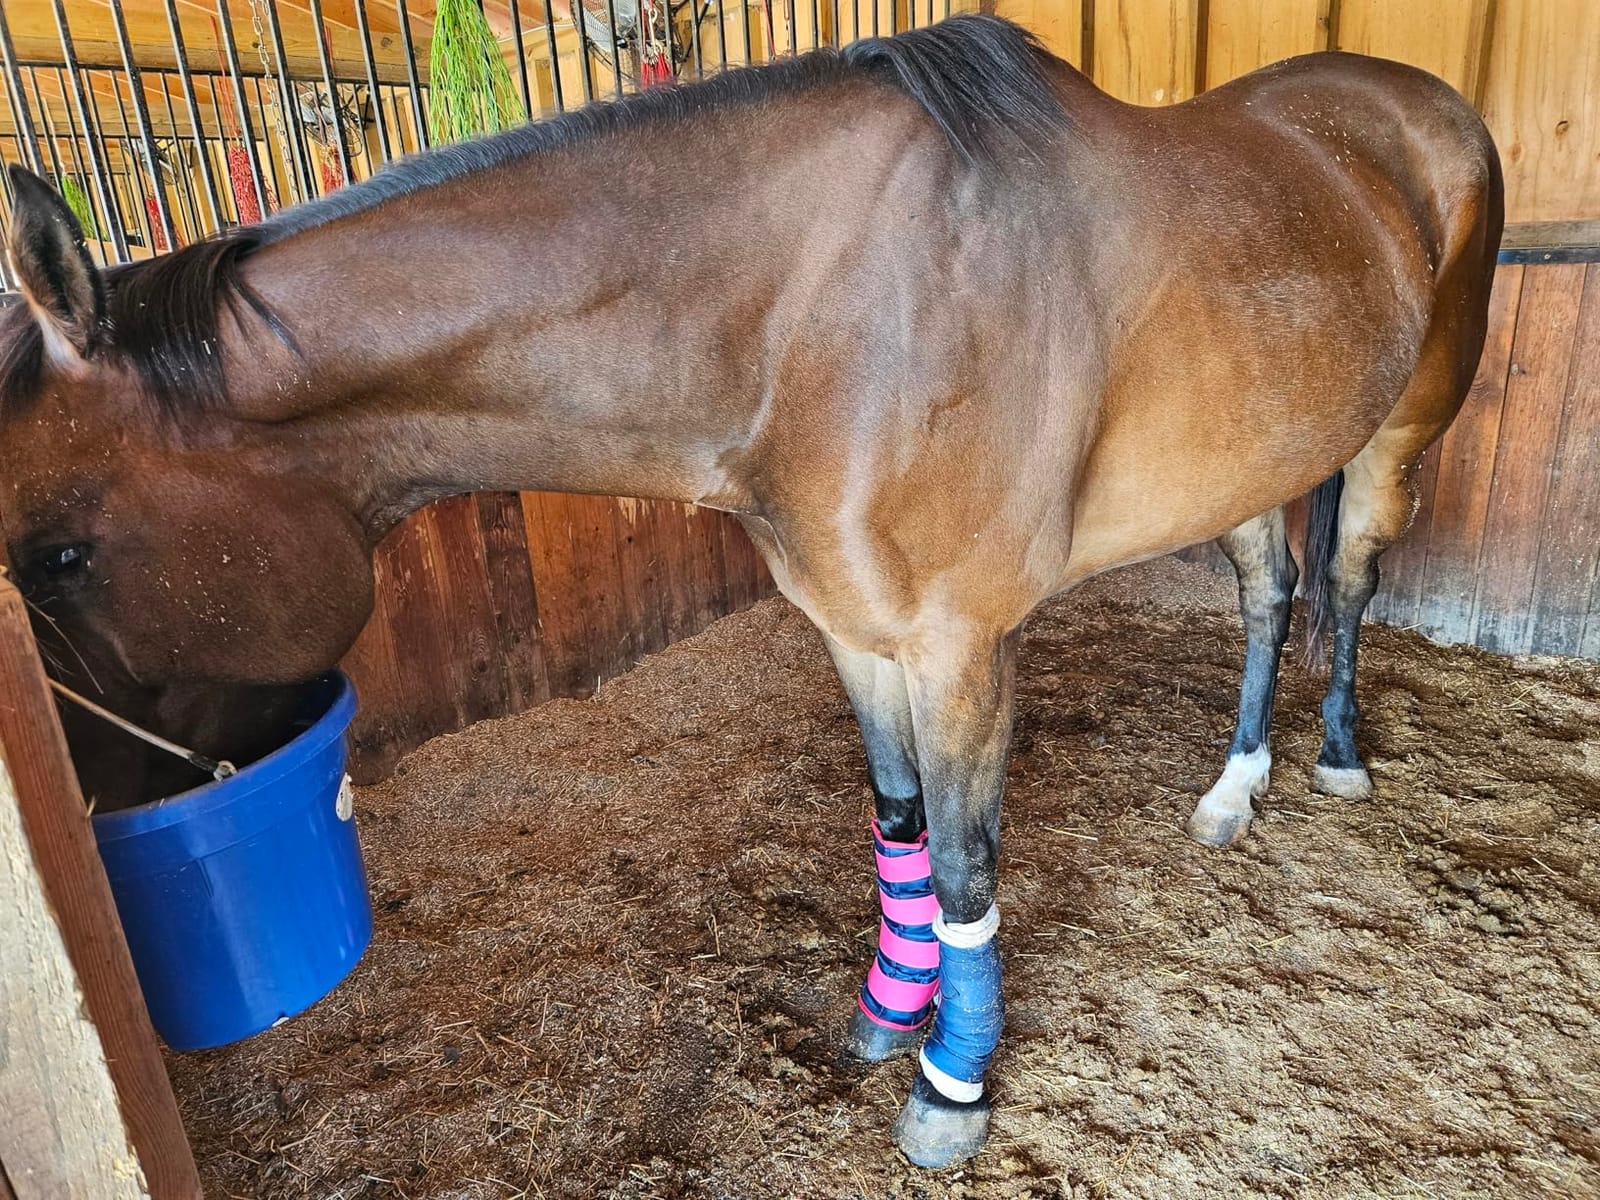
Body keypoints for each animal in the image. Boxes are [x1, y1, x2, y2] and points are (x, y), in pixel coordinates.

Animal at [0, 15, 1500, 1167]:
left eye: (55, 555)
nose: (122, 812)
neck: (809, 316)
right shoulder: (852, 627)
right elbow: (897, 825)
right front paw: (889, 1014)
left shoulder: (960, 644)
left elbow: (968, 867)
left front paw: (953, 1085)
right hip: (1253, 450)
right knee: (1268, 592)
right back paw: (1236, 786)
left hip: (1403, 428)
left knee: (1349, 582)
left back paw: (1338, 759)